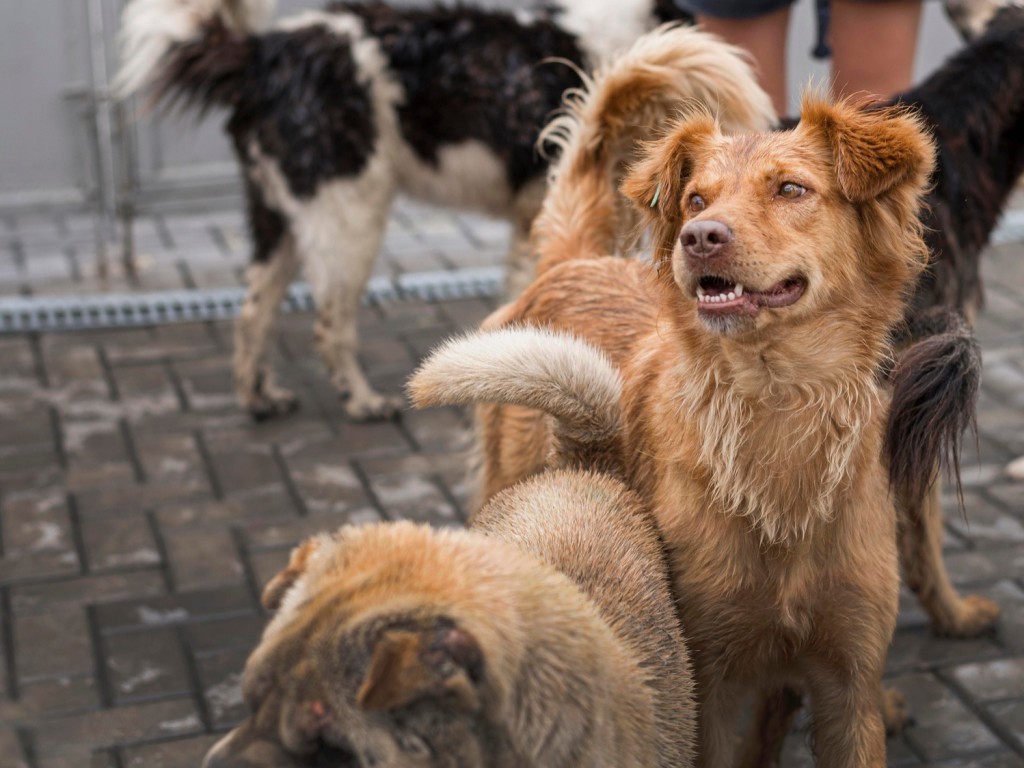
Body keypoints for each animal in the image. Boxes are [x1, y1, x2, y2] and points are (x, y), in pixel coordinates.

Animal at [114, 0, 770, 421]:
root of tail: (263, 52)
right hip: (348, 213)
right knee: (330, 322)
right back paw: (362, 401)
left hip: (280, 217)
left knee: (253, 311)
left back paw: (259, 398)